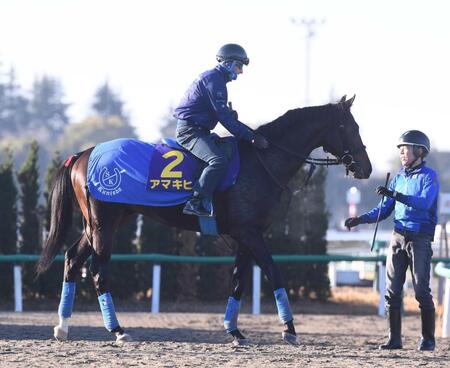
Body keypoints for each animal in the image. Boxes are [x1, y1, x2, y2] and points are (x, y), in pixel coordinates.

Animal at [36, 94, 372, 344]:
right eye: (350, 126)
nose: (366, 168)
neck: (263, 161)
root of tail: (82, 154)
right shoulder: (251, 234)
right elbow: (274, 273)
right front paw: (289, 329)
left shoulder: (244, 236)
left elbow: (237, 281)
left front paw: (235, 331)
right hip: (103, 224)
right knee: (97, 270)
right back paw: (117, 330)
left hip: (100, 224)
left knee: (72, 259)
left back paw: (63, 326)